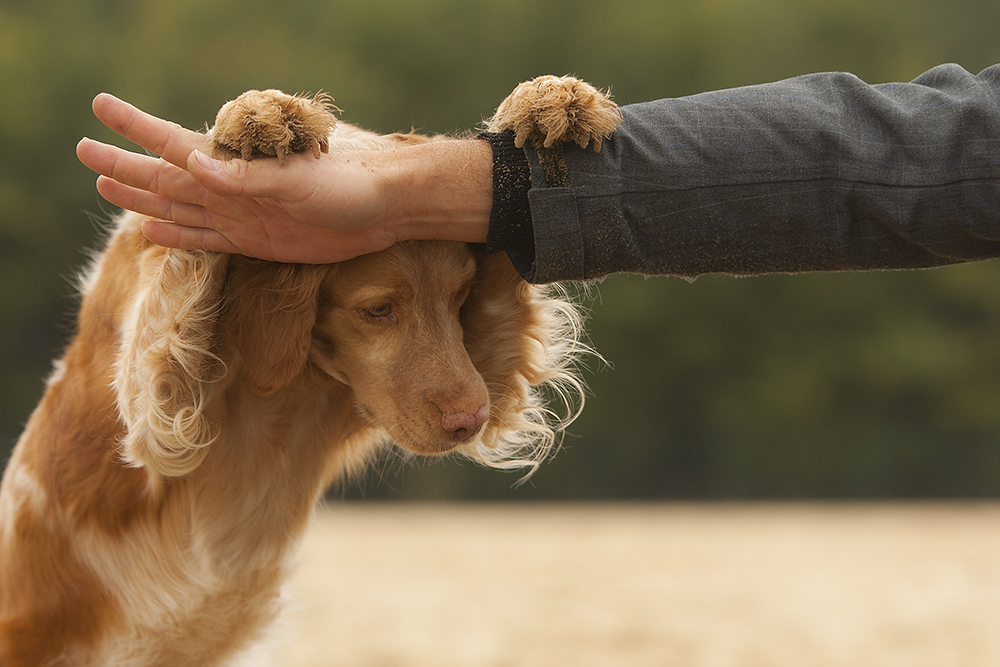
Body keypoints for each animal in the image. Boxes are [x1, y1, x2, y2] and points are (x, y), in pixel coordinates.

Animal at [0, 75, 620, 664]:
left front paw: (547, 102)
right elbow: (185, 263)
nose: (468, 422)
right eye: (377, 309)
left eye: (458, 296)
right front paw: (251, 123)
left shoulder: (489, 359)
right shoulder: (153, 408)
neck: (290, 385)